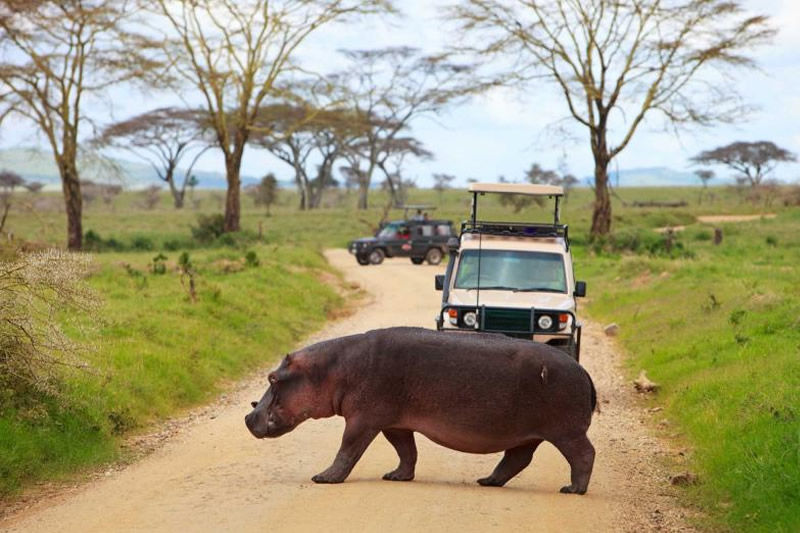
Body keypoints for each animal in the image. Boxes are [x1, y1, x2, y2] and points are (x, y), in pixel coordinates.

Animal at [247, 326, 596, 492]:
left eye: (273, 377)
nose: (249, 416)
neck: (331, 369)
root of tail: (583, 371)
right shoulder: (394, 423)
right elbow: (406, 451)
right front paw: (396, 477)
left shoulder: (363, 420)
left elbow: (348, 449)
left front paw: (323, 478)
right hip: (529, 434)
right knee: (517, 458)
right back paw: (486, 481)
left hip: (566, 432)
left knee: (584, 454)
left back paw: (572, 489)